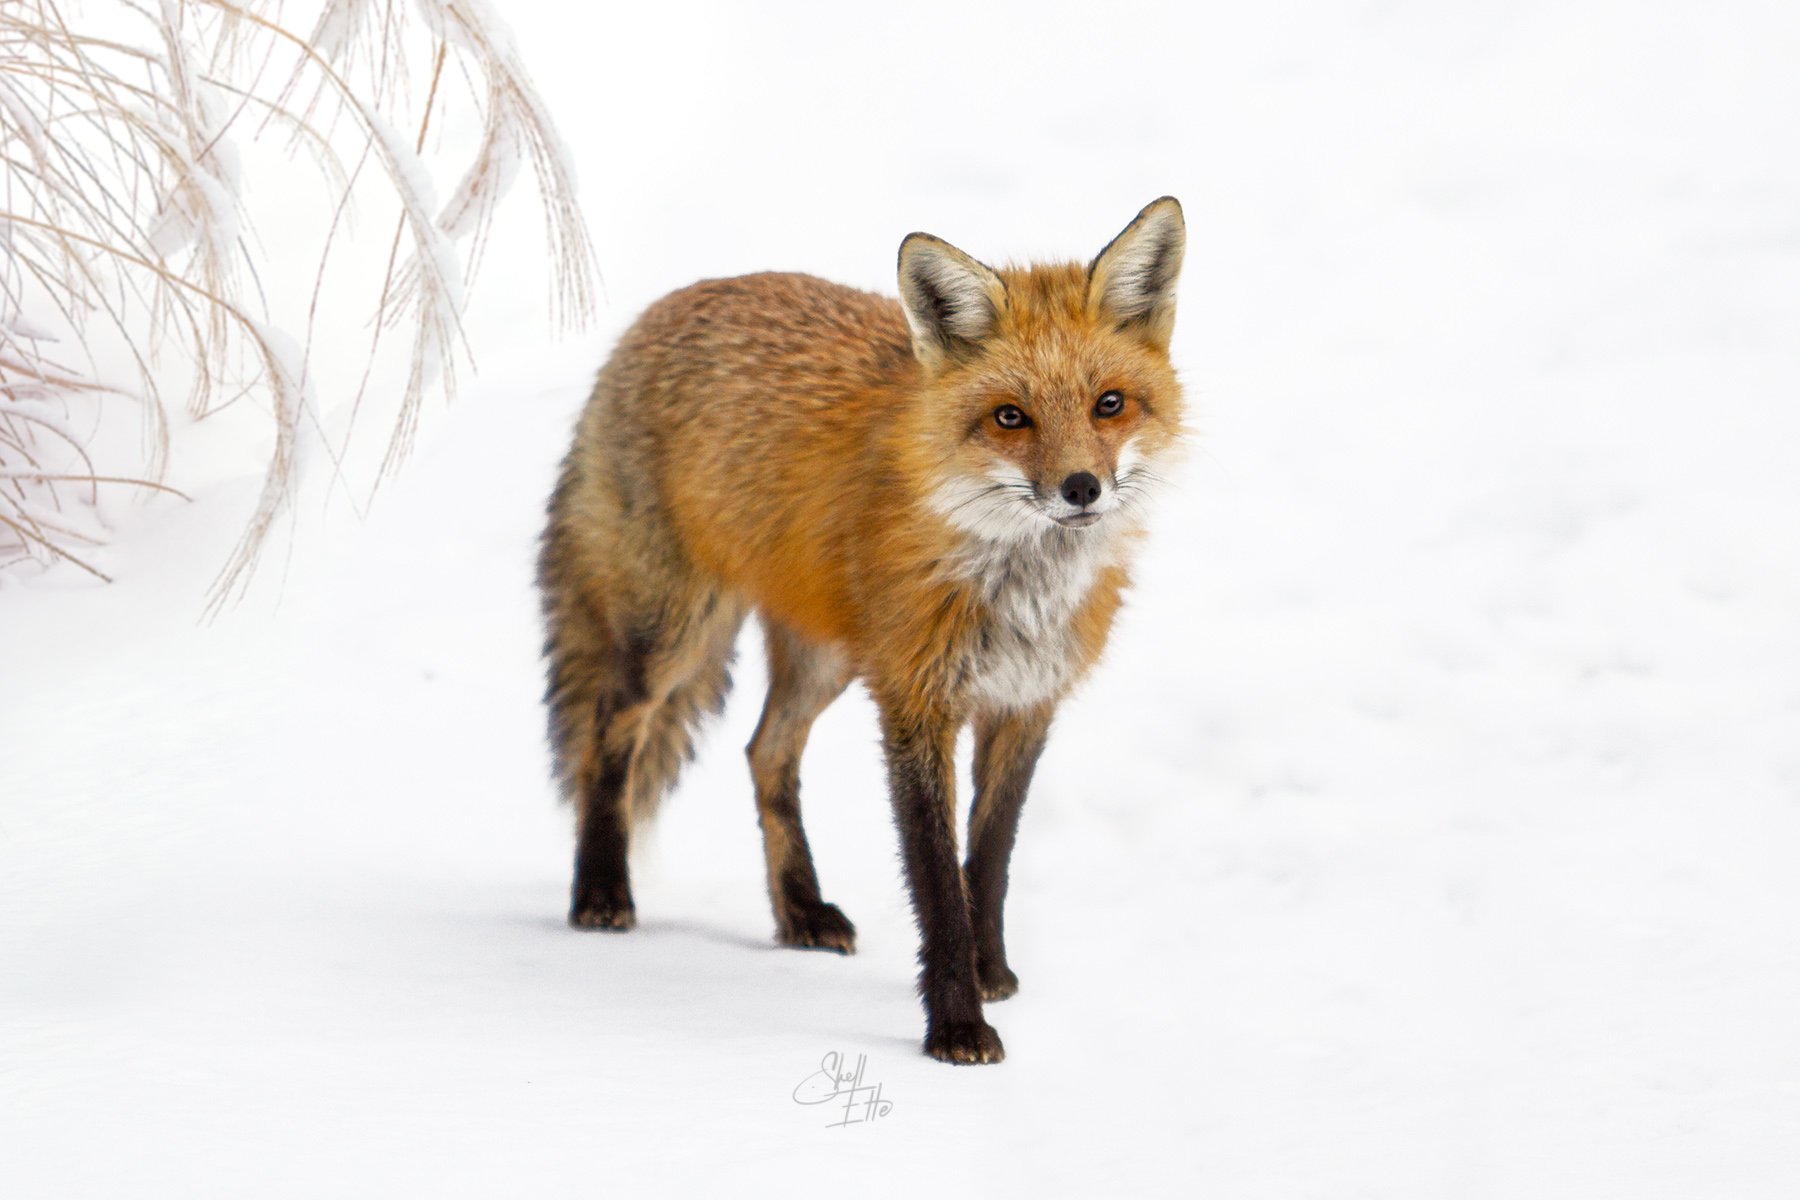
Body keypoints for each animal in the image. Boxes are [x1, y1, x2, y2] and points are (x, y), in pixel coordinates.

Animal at [537, 197, 1186, 1064]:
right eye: (1010, 418)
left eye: (1108, 404)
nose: (1082, 488)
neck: (1019, 587)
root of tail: (662, 309)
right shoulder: (915, 702)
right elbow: (936, 880)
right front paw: (956, 1025)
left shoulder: (1024, 706)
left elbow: (989, 860)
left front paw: (989, 974)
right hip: (673, 634)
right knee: (611, 731)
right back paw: (602, 890)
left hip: (827, 657)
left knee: (765, 751)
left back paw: (798, 911)